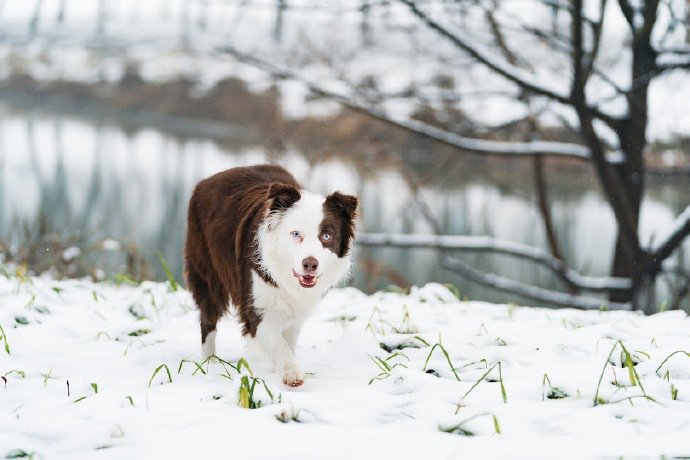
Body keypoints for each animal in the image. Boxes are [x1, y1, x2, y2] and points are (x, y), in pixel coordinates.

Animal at [184, 164, 354, 386]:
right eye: (296, 234)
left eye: (326, 236)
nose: (310, 264)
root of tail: (207, 181)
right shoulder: (255, 305)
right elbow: (276, 342)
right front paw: (291, 372)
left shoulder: (296, 310)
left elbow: (288, 341)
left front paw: (280, 368)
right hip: (207, 272)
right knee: (208, 318)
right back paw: (209, 362)